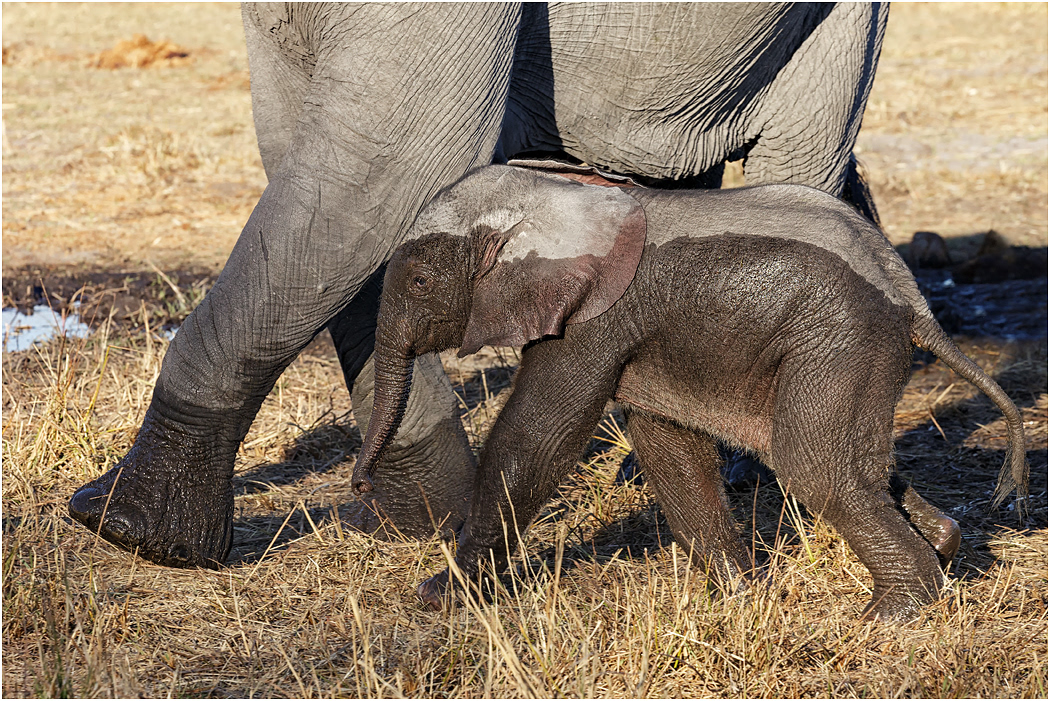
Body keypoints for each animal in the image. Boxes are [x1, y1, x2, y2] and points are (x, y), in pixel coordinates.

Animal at [69, 3, 892, 568]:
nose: (355, 491)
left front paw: (131, 531)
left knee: (801, 155)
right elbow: (302, 157)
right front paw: (430, 517)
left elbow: (387, 163)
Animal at [350, 164, 1029, 621]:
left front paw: (443, 593)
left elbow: (536, 438)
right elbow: (669, 449)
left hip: (838, 338)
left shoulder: (593, 318)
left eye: (419, 279)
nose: (357, 484)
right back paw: (944, 546)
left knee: (814, 467)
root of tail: (914, 302)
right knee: (857, 466)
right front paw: (738, 594)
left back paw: (891, 614)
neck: (554, 195)